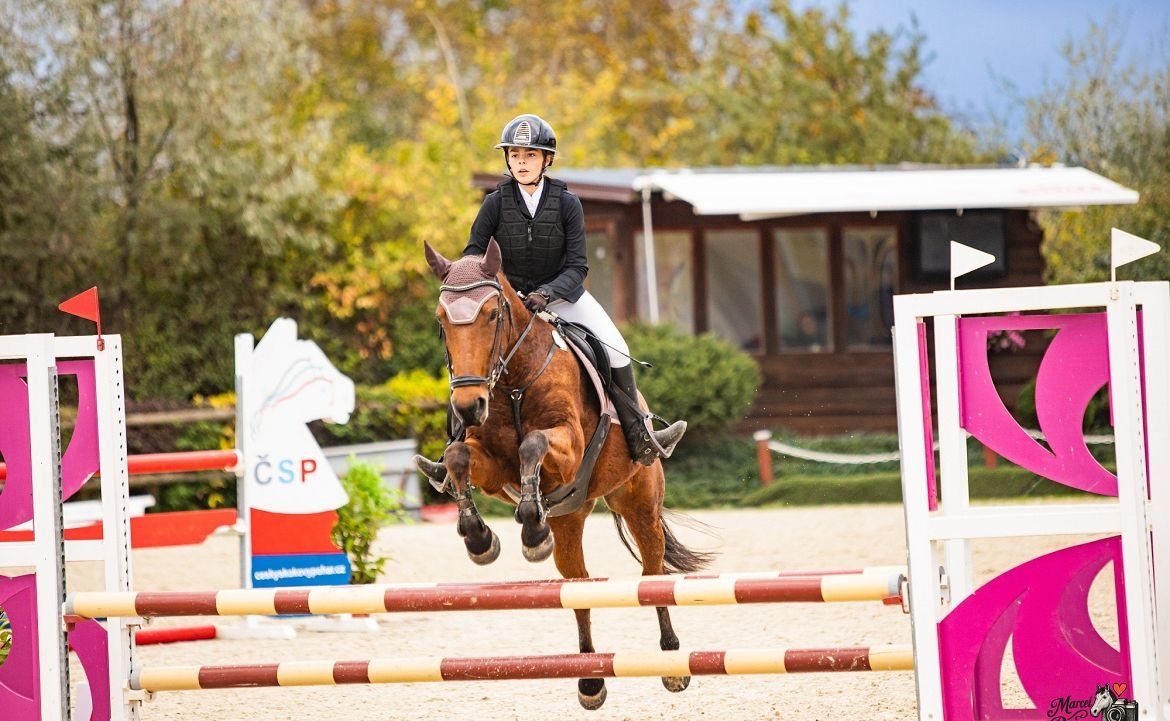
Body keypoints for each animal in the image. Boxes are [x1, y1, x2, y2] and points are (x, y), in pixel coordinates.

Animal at [414, 238, 712, 710]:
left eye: (492, 315)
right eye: (442, 321)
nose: (467, 406)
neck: (513, 381)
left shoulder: (568, 447)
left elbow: (532, 444)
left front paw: (527, 523)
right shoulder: (491, 465)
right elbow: (460, 456)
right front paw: (481, 538)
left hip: (639, 504)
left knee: (653, 575)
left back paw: (672, 664)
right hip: (570, 521)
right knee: (579, 588)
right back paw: (590, 681)